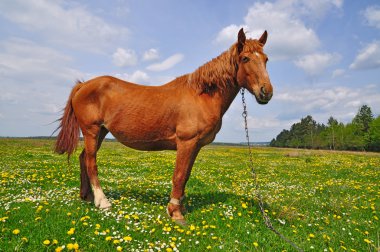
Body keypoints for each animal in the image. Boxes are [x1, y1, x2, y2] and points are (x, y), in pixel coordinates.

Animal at [54, 28, 274, 223]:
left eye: (266, 59)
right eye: (245, 59)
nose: (266, 92)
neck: (201, 94)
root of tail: (83, 85)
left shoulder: (195, 146)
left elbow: (186, 176)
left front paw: (181, 207)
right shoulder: (186, 142)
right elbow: (179, 175)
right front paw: (175, 212)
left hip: (100, 132)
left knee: (83, 158)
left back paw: (87, 197)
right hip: (91, 130)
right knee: (91, 162)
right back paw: (102, 201)